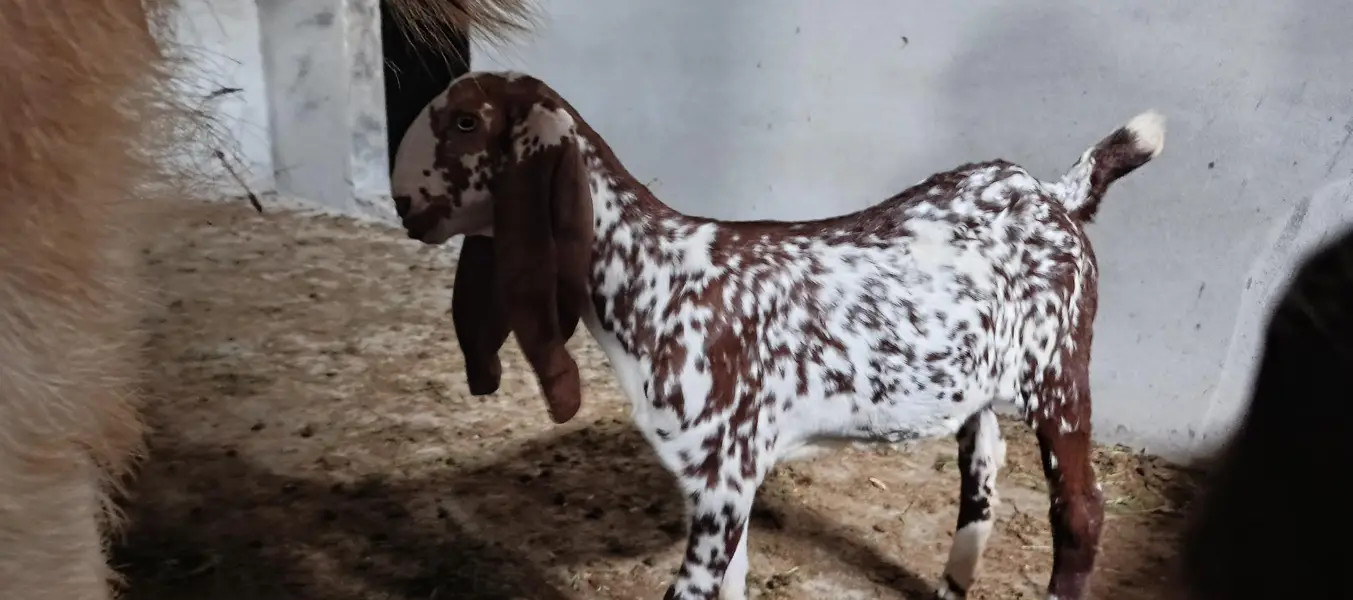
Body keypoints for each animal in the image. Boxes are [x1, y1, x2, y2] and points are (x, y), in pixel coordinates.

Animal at [391, 71, 1165, 600]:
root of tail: (1053, 195)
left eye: (465, 122)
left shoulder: (725, 474)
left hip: (1058, 370)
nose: (403, 203)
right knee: (981, 468)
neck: (659, 276)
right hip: (975, 381)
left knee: (1080, 510)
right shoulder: (715, 480)